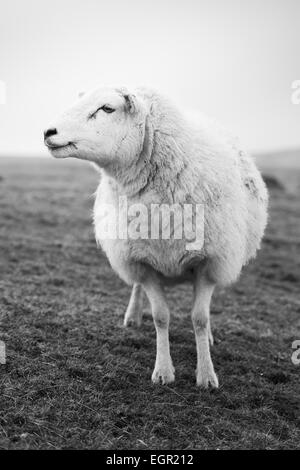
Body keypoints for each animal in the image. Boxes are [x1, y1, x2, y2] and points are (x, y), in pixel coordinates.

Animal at [43, 86, 268, 388]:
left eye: (107, 108)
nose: (48, 131)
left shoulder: (209, 262)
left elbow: (199, 318)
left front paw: (206, 375)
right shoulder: (143, 261)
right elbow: (161, 317)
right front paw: (163, 371)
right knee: (137, 287)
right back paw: (133, 316)